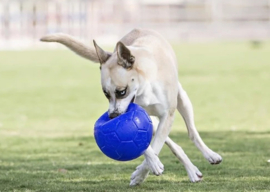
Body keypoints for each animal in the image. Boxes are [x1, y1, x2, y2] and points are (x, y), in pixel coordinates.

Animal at [40, 28, 221, 184]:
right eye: (106, 94)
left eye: (121, 91)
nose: (112, 116)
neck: (145, 84)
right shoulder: (145, 117)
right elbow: (145, 144)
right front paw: (149, 166)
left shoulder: (167, 114)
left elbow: (156, 144)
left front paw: (142, 172)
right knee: (172, 144)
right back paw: (191, 169)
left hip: (182, 99)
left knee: (192, 132)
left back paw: (209, 156)